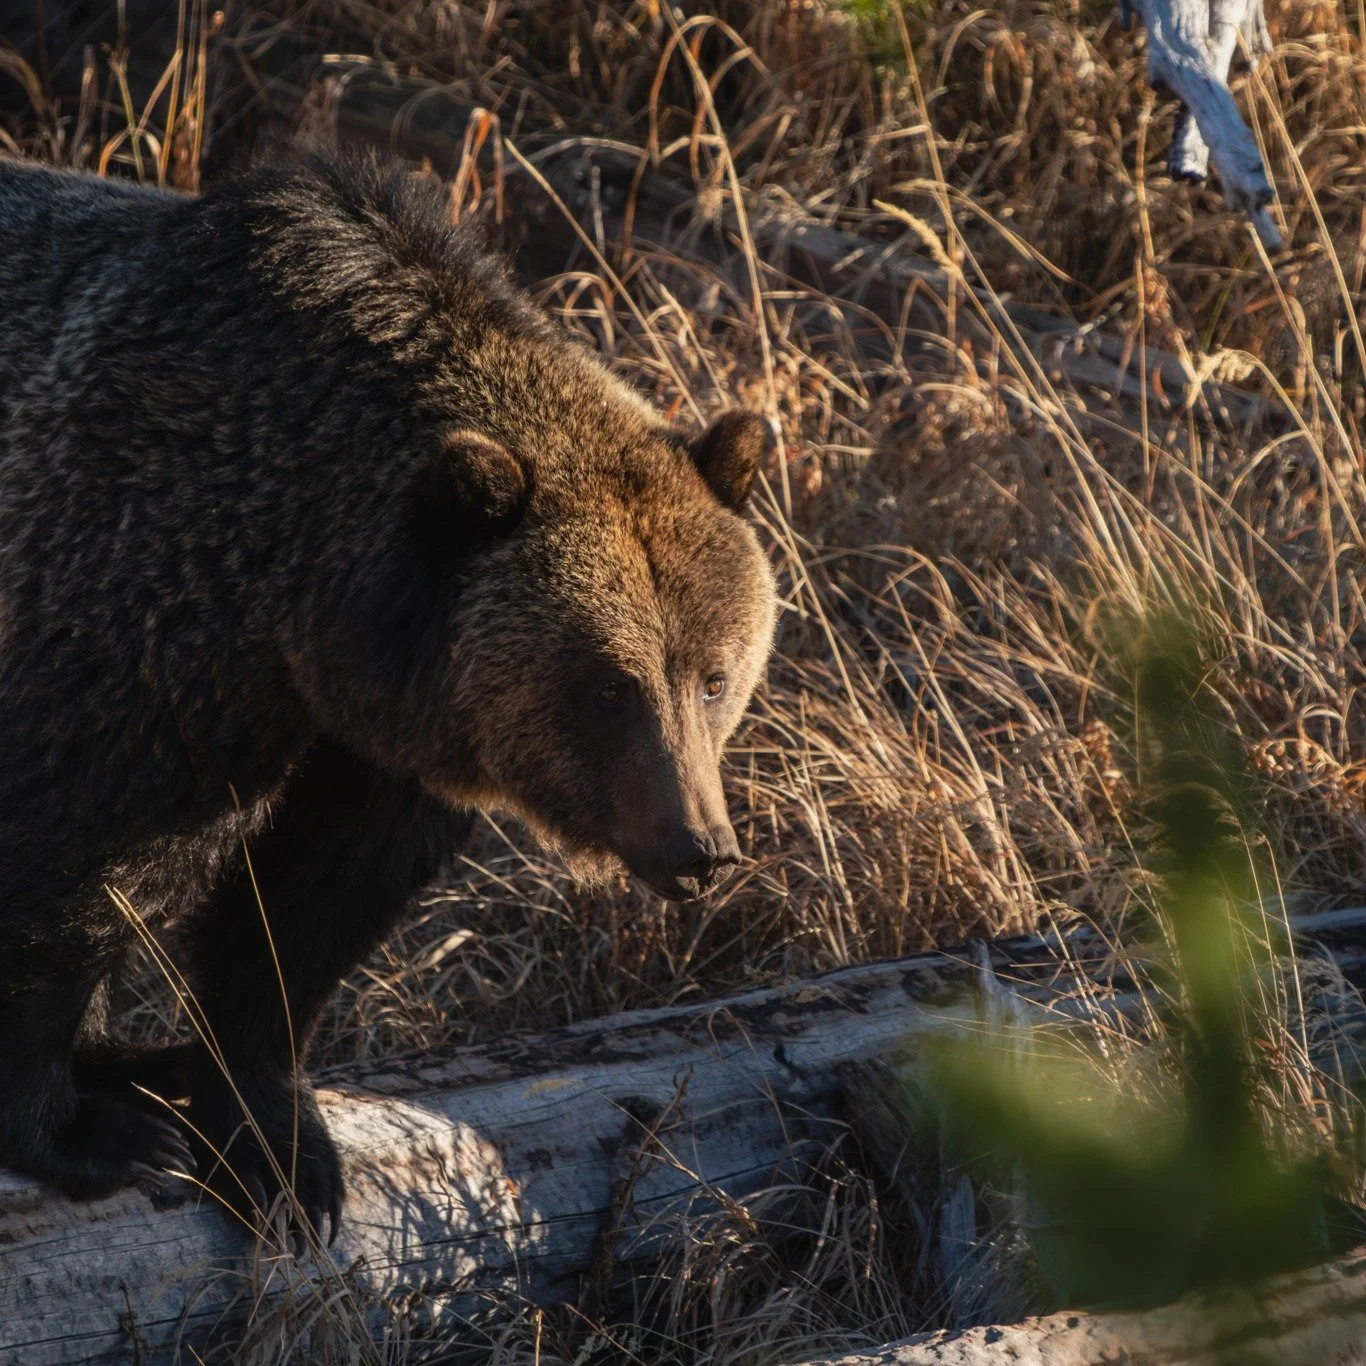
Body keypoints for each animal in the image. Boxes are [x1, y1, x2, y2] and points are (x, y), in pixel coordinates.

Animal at [0, 150, 777, 1243]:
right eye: (608, 684)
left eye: (713, 675)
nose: (700, 847)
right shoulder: (133, 624)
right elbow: (77, 862)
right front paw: (84, 1129)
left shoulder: (390, 730)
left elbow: (310, 902)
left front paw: (276, 1144)